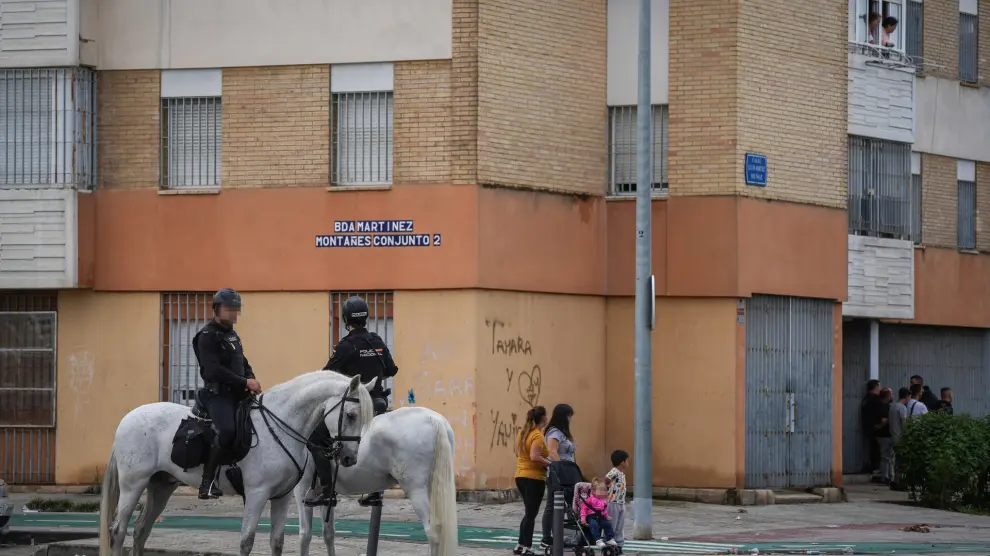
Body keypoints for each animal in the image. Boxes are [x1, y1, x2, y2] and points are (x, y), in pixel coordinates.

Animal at [98, 371, 376, 556]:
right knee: (118, 530)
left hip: (161, 485)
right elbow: (246, 541)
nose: (350, 458)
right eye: (351, 415)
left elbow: (277, 542)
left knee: (140, 530)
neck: (282, 425)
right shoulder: (257, 494)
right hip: (133, 485)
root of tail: (127, 419)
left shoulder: (282, 496)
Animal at [292, 406, 458, 556]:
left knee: (433, 532)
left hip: (416, 490)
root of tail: (434, 419)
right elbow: (328, 534)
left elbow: (305, 535)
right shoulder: (326, 497)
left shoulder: (302, 490)